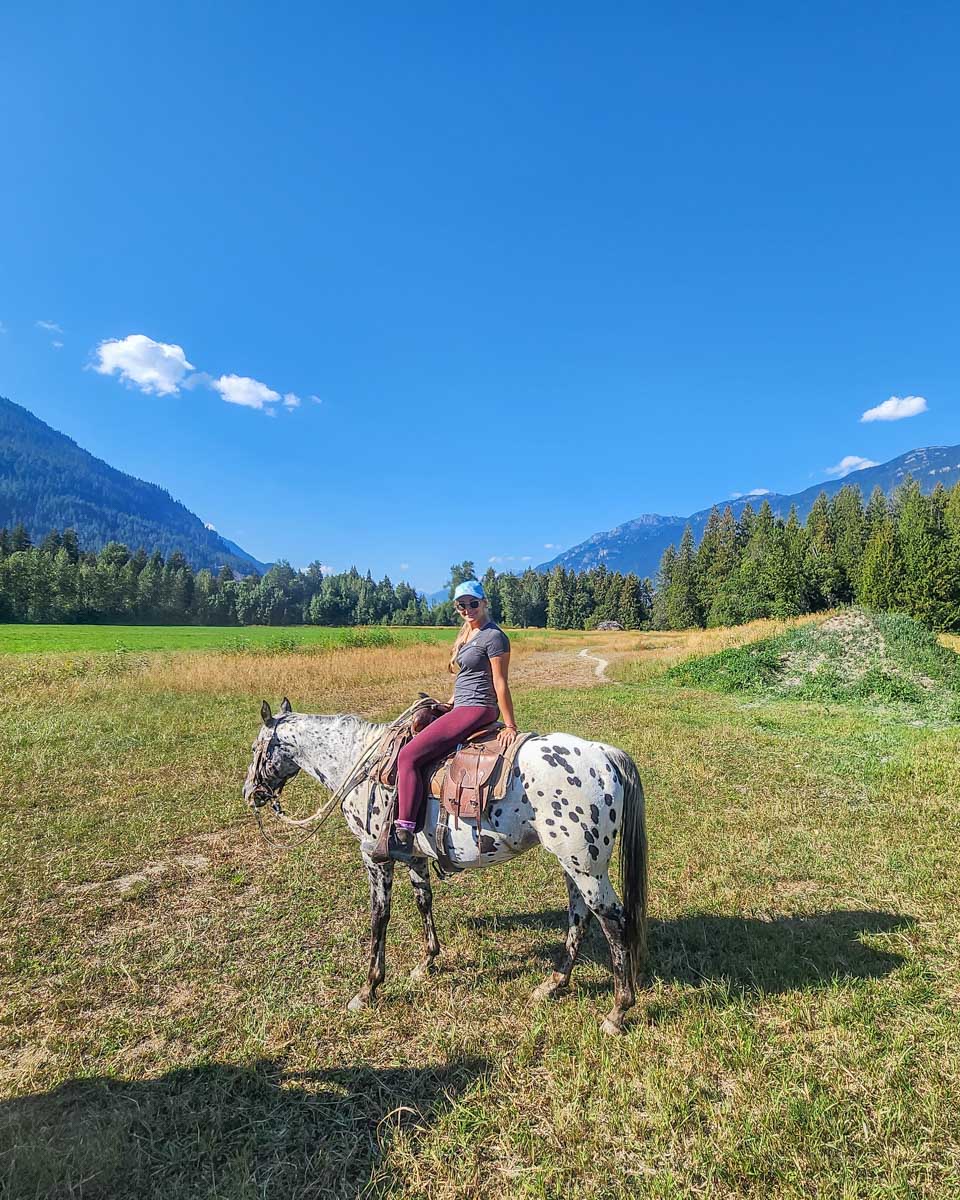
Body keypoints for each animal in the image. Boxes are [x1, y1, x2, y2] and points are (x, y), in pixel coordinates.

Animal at [243, 698, 649, 1034]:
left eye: (254, 748)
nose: (250, 793)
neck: (360, 762)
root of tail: (605, 755)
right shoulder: (413, 856)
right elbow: (424, 901)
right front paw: (427, 963)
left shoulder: (375, 858)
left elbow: (379, 917)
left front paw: (368, 988)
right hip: (572, 864)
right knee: (579, 917)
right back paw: (552, 984)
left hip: (588, 869)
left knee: (614, 922)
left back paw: (617, 1012)